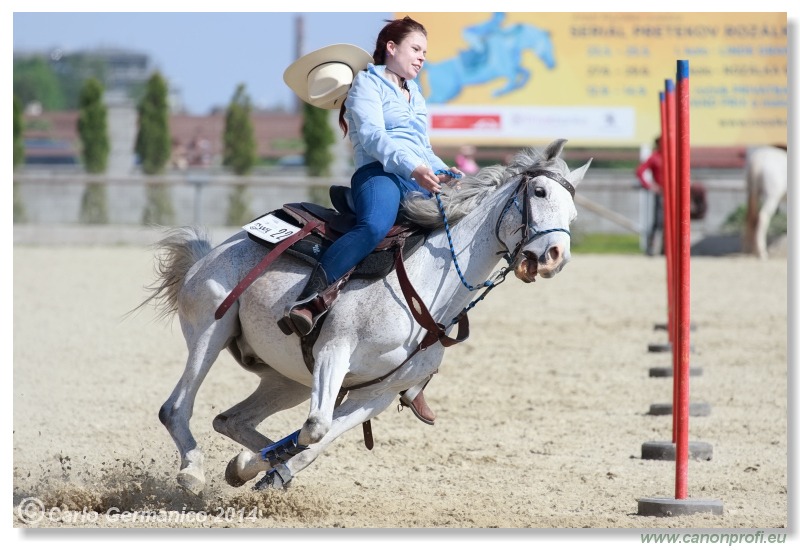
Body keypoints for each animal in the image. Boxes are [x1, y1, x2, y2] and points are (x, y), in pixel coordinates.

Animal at [138, 140, 588, 494]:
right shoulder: (334, 353)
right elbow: (316, 427)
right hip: (210, 333)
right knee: (175, 407)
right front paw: (260, 465)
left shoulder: (378, 394)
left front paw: (255, 468)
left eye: (573, 215)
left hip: (287, 379)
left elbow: (320, 437)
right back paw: (192, 473)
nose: (554, 257)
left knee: (228, 419)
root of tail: (210, 252)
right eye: (540, 192)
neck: (425, 288)